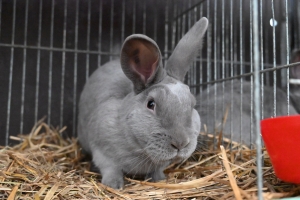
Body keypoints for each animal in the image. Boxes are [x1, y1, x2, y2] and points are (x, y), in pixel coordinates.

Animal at [77, 17, 209, 189]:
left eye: (192, 105)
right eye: (151, 104)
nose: (180, 143)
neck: (140, 149)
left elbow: (157, 171)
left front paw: (159, 180)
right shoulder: (102, 151)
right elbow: (110, 169)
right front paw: (114, 185)